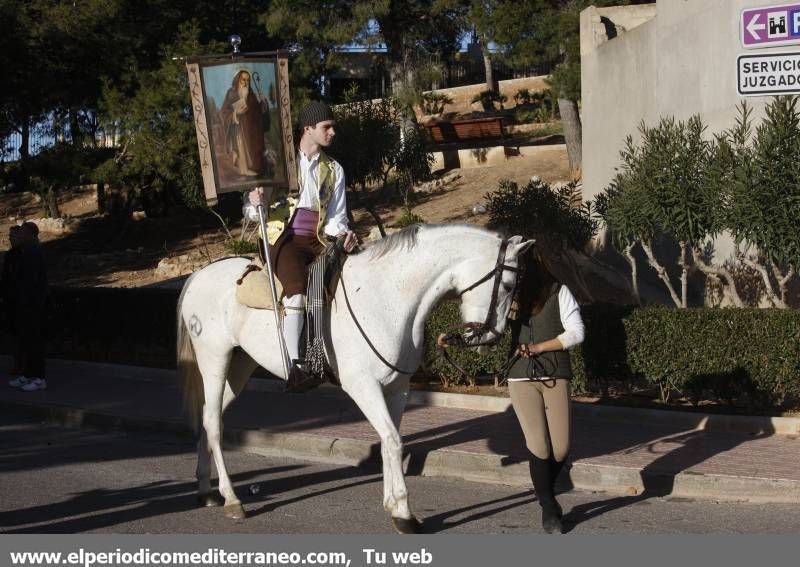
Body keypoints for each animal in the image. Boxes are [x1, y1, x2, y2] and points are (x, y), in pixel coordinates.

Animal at [178, 223, 536, 532]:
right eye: (507, 286)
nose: (490, 338)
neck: (388, 296)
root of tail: (198, 276)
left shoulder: (397, 390)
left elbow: (390, 442)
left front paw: (393, 504)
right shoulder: (364, 387)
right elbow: (393, 440)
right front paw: (404, 512)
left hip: (239, 368)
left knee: (209, 418)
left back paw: (205, 490)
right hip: (215, 360)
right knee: (213, 422)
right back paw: (232, 499)